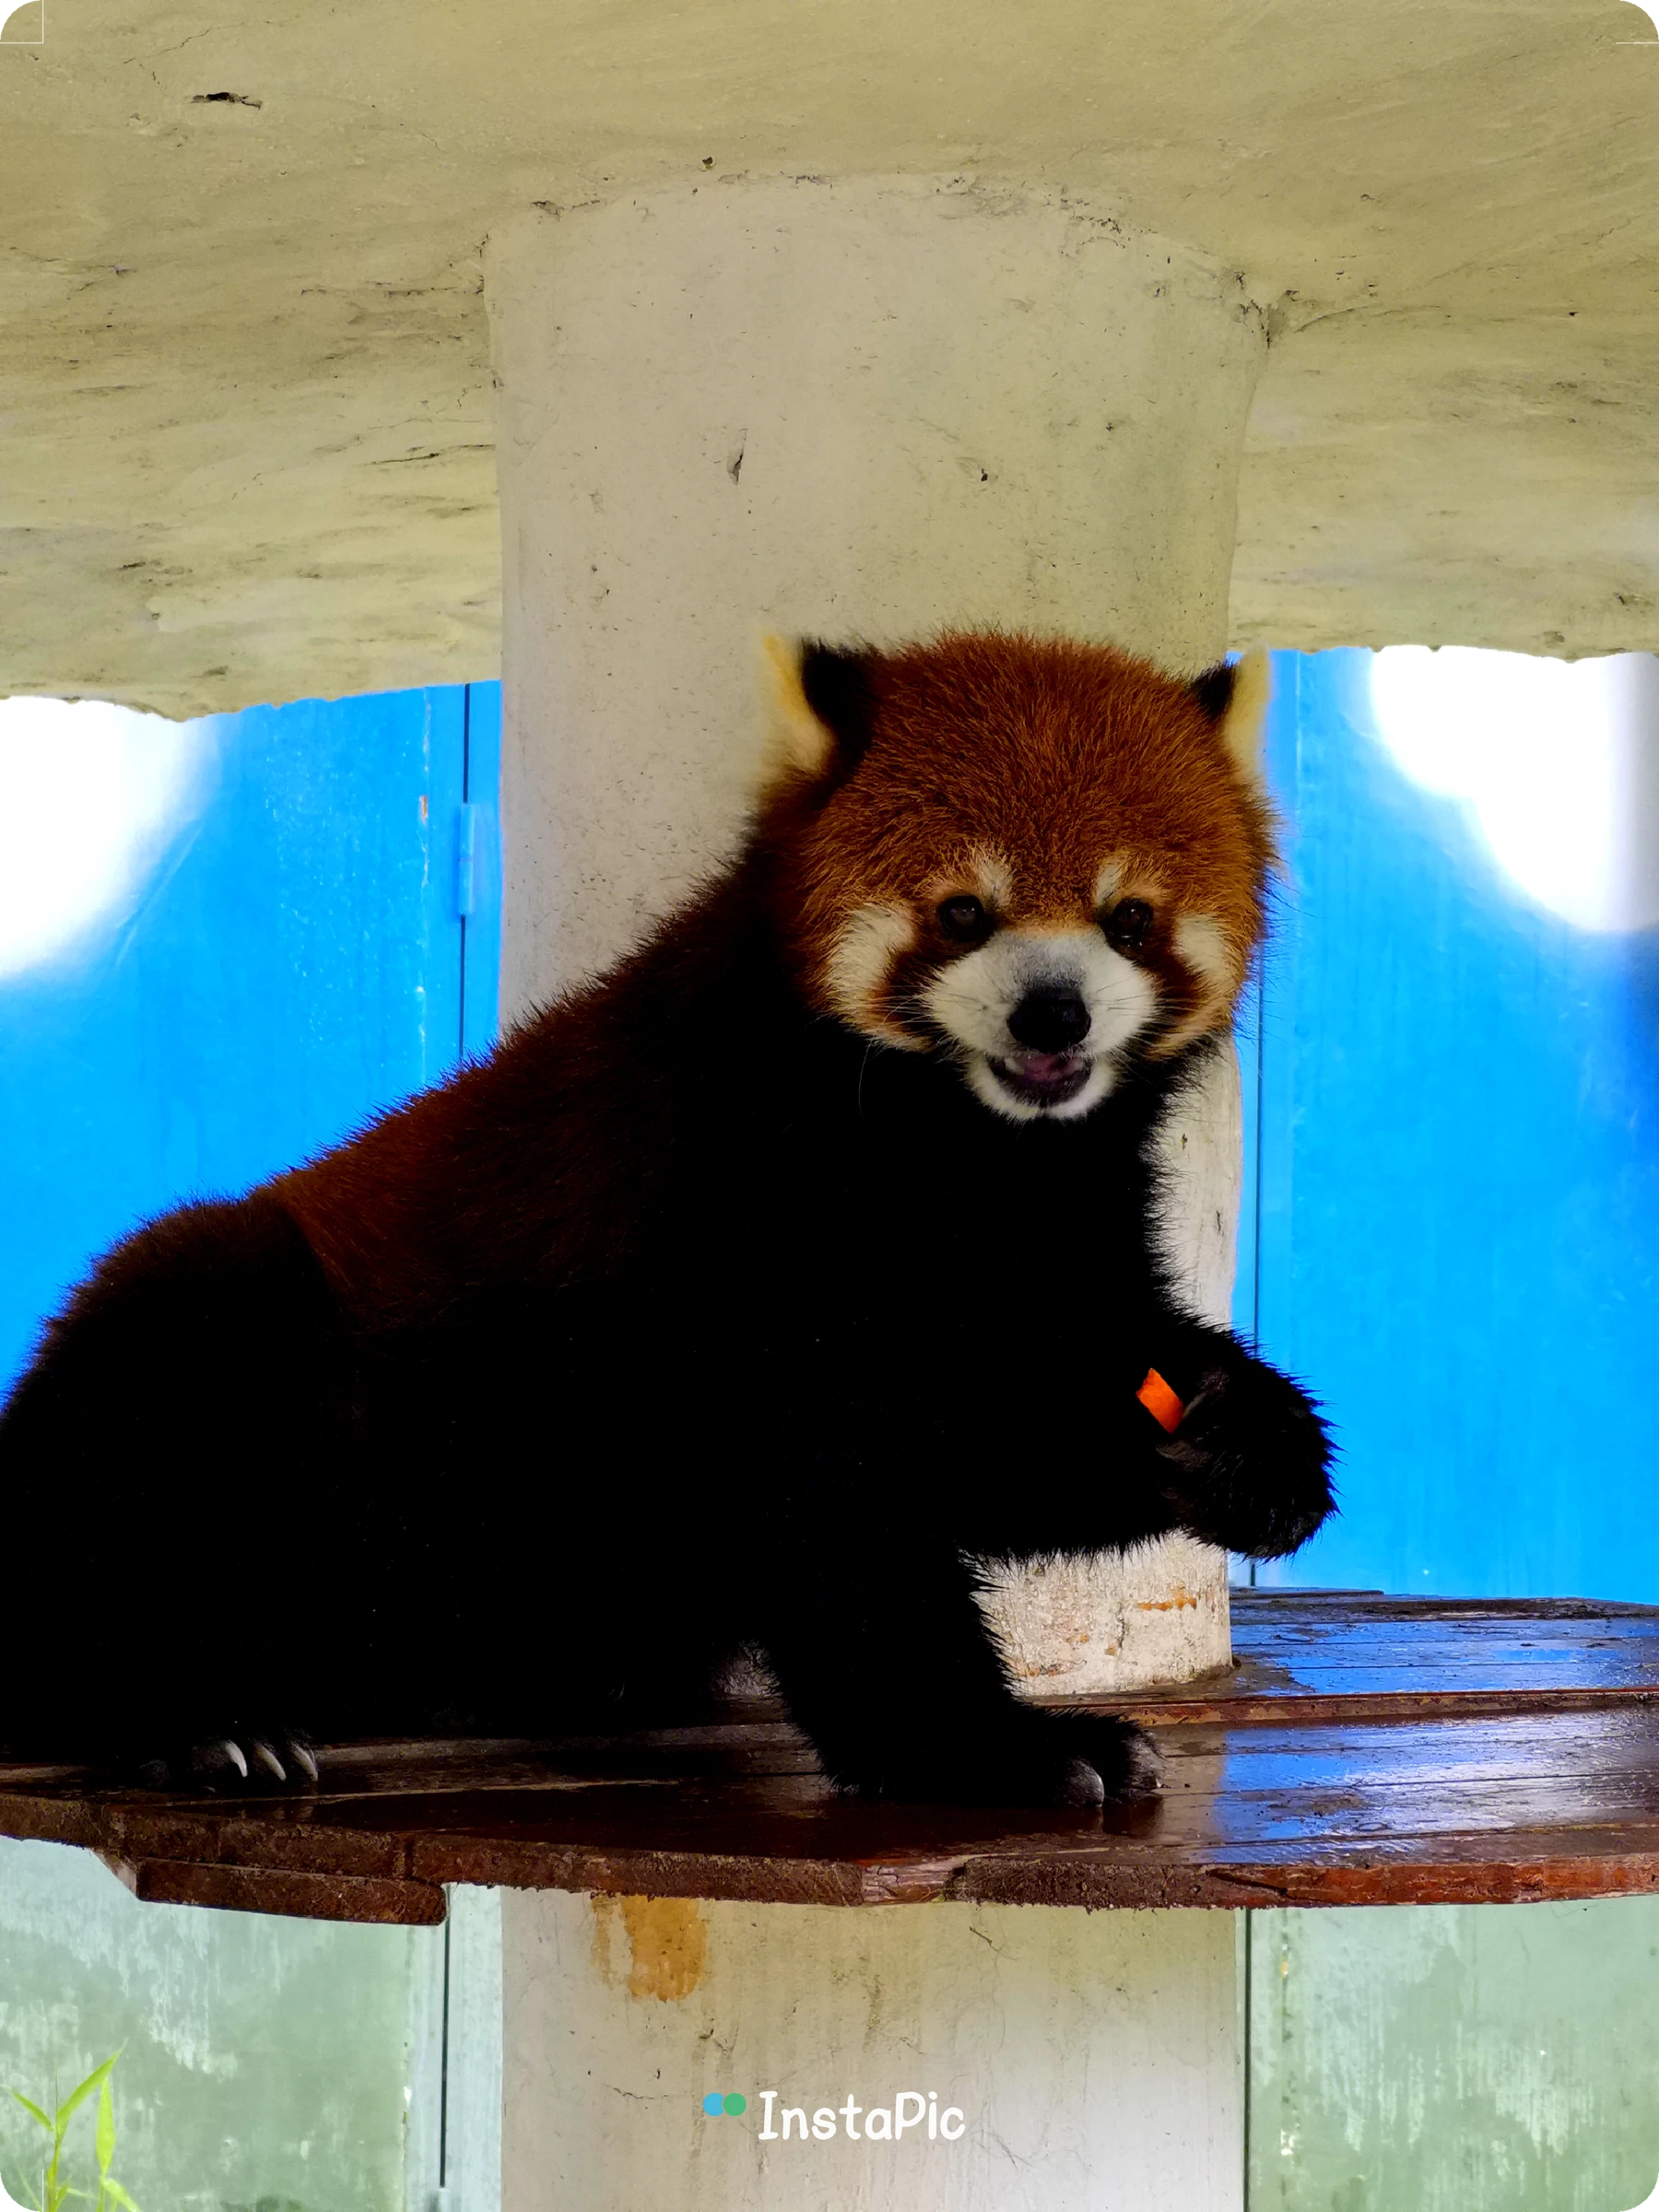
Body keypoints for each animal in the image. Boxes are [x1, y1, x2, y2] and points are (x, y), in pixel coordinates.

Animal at [0, 629, 1333, 1805]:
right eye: (965, 913)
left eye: (1128, 919)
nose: (1053, 1015)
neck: (966, 1149)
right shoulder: (736, 1208)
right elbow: (832, 1513)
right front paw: (984, 1750)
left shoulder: (1062, 1218)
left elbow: (1021, 1428)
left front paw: (1248, 1441)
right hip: (251, 1386)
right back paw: (191, 1720)